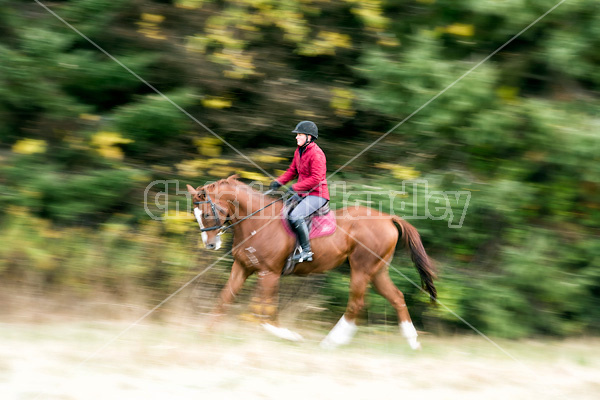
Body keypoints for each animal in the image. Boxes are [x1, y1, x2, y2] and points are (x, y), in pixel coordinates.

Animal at [188, 177, 436, 348]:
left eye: (208, 213)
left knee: (357, 303)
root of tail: (388, 218)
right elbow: (224, 299)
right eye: (196, 215)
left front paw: (289, 335)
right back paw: (412, 342)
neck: (256, 221)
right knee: (397, 297)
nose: (210, 245)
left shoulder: (269, 273)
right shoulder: (242, 267)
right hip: (377, 271)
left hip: (362, 269)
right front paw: (205, 334)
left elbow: (266, 314)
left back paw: (332, 341)